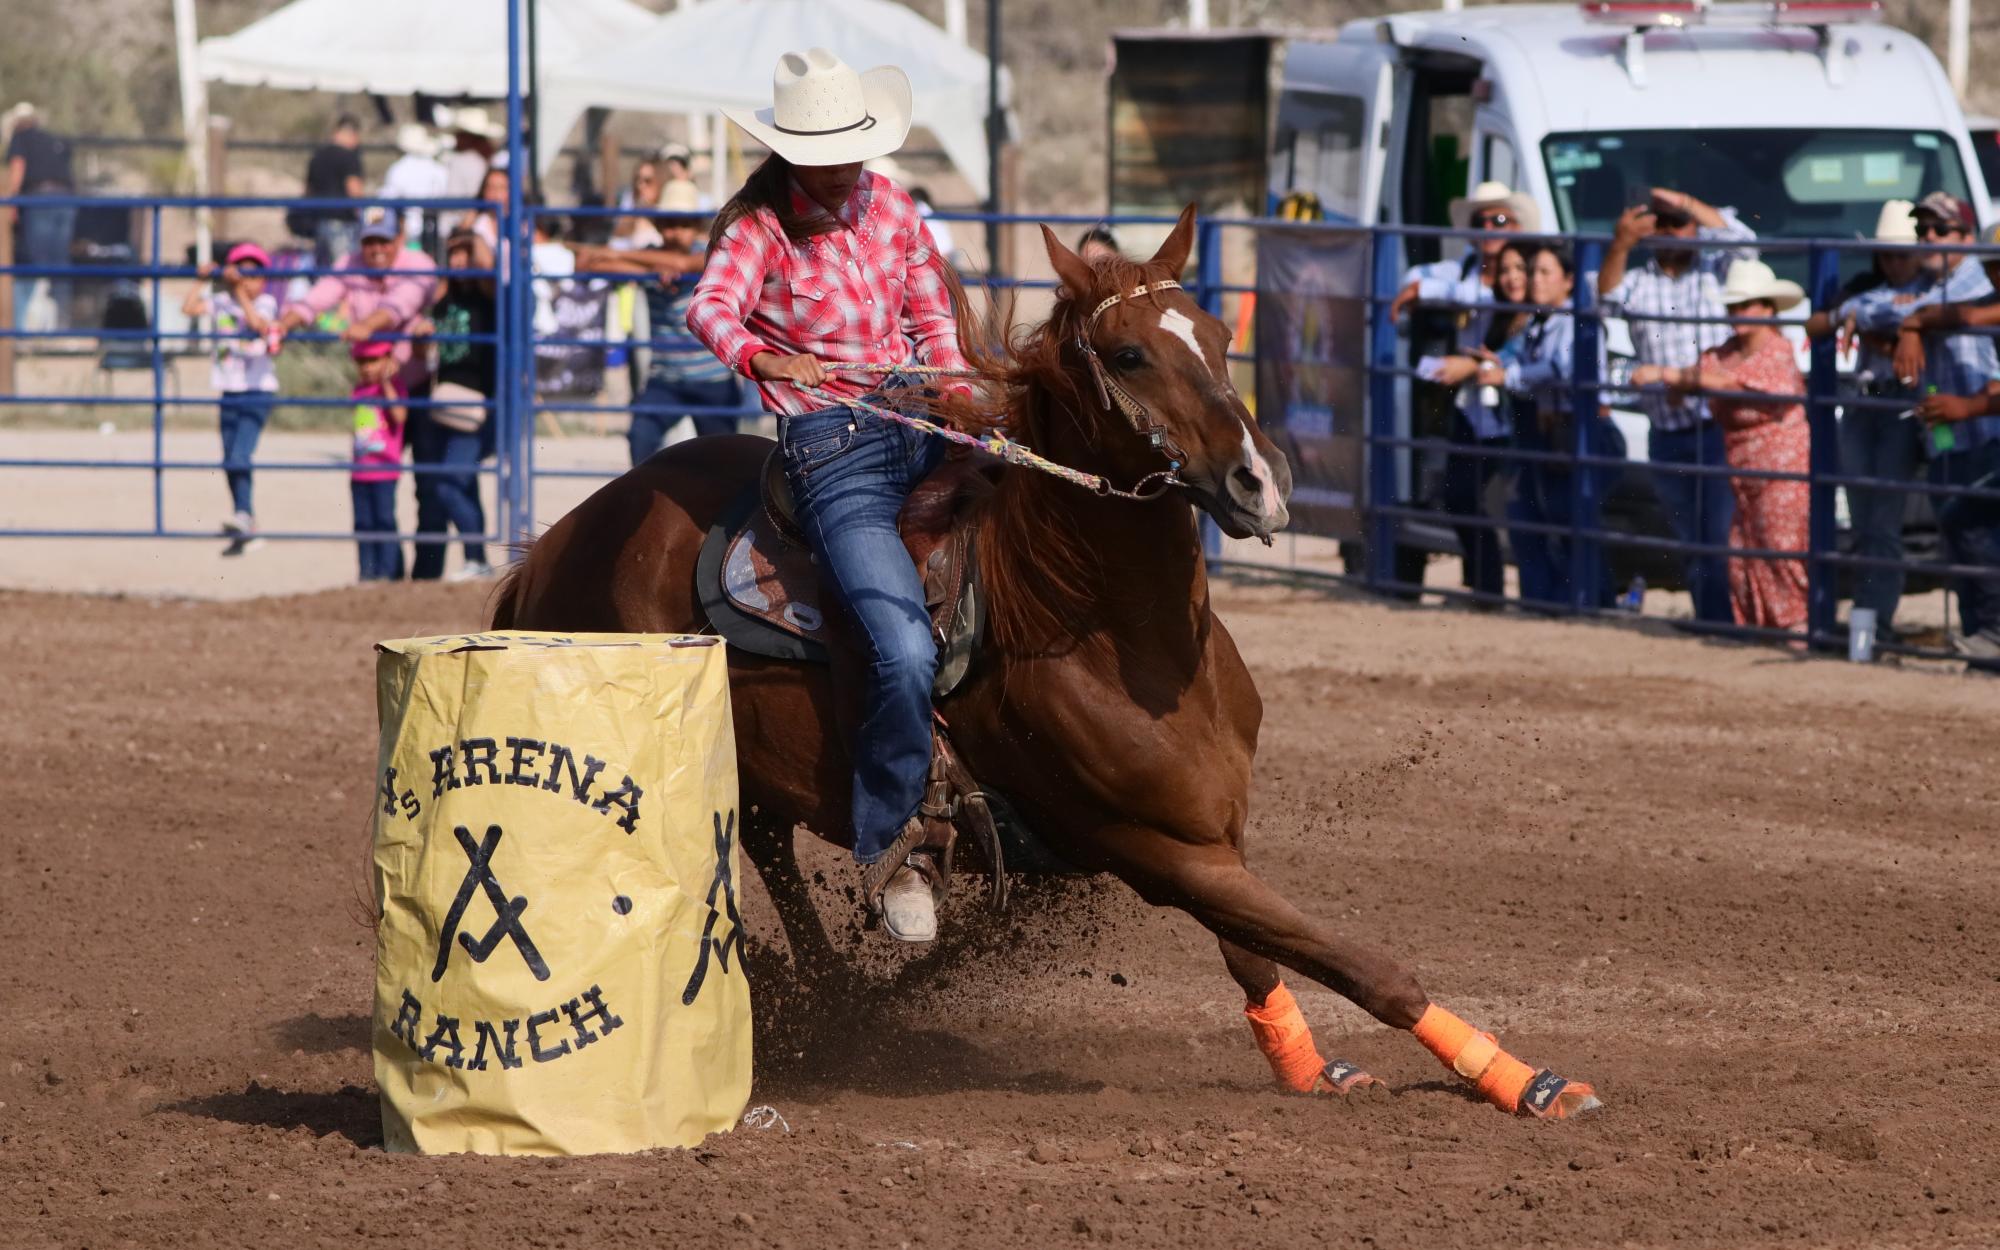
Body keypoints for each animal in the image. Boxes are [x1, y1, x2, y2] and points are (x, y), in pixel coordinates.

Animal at [492, 210, 1600, 1120]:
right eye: (1127, 353)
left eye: (1217, 334)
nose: (1259, 482)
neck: (1107, 631)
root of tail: (555, 545)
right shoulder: (1152, 848)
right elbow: (1359, 961)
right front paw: (1526, 1081)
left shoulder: (1209, 835)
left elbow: (1259, 958)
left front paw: (1310, 1069)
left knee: (763, 844)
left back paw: (833, 992)